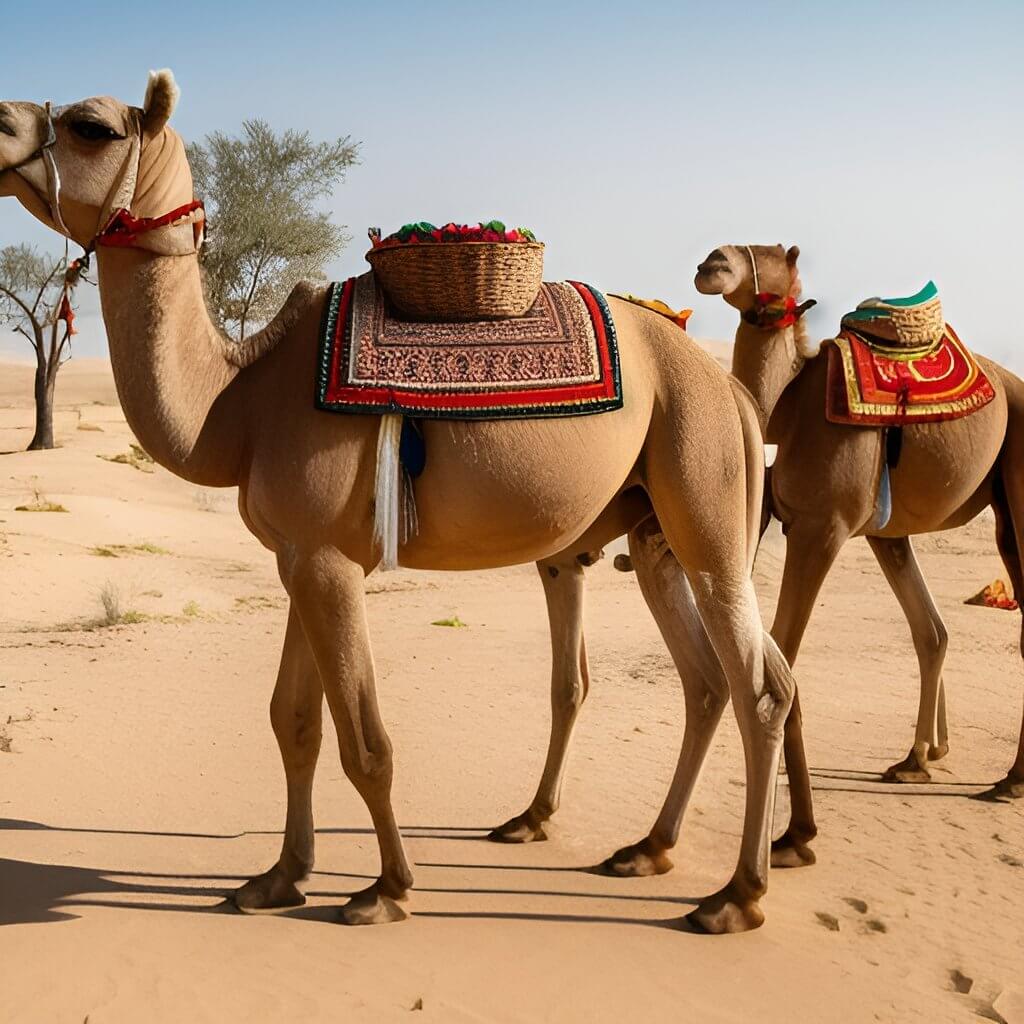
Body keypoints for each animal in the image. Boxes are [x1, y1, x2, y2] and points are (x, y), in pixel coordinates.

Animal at [0, 73, 798, 932]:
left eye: (93, 126)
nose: (2, 121)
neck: (236, 402)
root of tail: (730, 390)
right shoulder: (302, 556)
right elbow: (294, 722)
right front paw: (277, 878)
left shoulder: (326, 562)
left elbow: (366, 741)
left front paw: (386, 889)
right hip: (655, 531)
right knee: (710, 682)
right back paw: (648, 849)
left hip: (706, 491)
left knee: (758, 688)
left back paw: (736, 897)